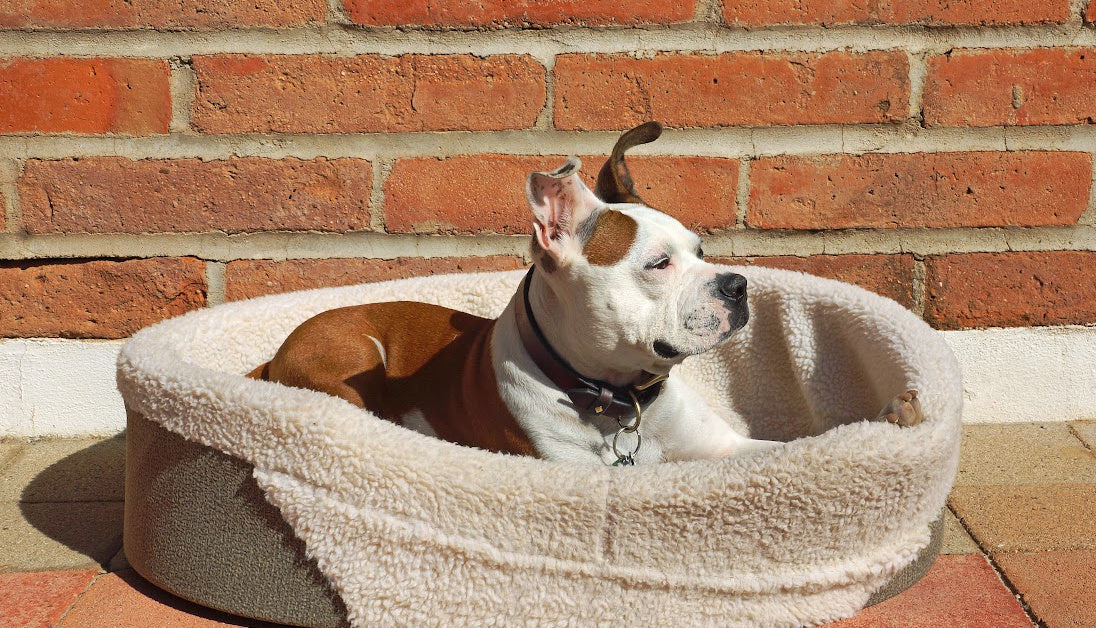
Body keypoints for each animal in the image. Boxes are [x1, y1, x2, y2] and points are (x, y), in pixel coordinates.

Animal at [251, 122, 925, 465]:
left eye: (701, 250)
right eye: (658, 264)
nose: (737, 285)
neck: (623, 402)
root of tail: (274, 355)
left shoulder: (726, 446)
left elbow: (796, 448)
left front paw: (888, 419)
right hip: (349, 362)